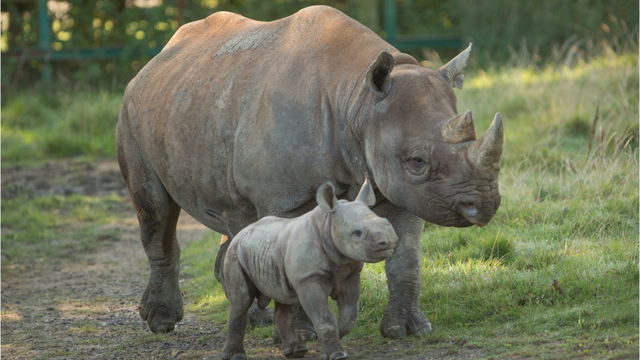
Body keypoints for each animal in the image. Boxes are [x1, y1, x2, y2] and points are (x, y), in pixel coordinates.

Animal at [116, 4, 504, 338]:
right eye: (417, 162)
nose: (484, 205)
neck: (356, 100)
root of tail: (156, 59)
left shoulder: (400, 190)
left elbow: (406, 256)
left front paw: (407, 330)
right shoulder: (286, 197)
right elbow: (294, 256)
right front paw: (302, 334)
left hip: (196, 100)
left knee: (235, 218)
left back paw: (255, 319)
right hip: (132, 112)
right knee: (154, 212)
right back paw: (162, 323)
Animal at [219, 178, 396, 360]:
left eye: (386, 221)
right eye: (357, 233)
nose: (387, 242)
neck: (328, 224)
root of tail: (242, 231)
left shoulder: (350, 274)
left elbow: (350, 315)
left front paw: (336, 337)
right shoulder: (308, 277)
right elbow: (324, 318)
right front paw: (336, 354)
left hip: (269, 249)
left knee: (286, 300)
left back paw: (296, 351)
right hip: (235, 252)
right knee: (242, 301)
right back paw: (235, 355)